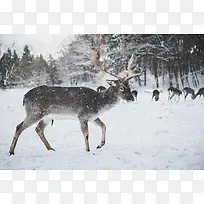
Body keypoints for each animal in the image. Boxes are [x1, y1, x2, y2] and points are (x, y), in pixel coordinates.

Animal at [8, 48, 138, 155]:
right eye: (122, 88)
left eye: (129, 86)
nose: (131, 98)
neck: (98, 104)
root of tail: (24, 97)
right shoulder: (82, 115)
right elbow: (86, 134)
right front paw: (88, 150)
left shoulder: (92, 117)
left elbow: (104, 126)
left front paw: (100, 145)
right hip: (34, 112)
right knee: (19, 126)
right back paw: (11, 151)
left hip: (47, 116)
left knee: (38, 129)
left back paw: (51, 149)